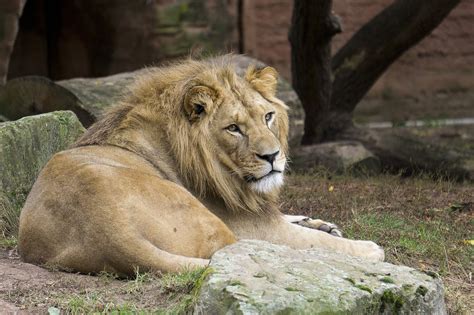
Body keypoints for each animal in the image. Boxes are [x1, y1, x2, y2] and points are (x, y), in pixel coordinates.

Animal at [17, 56, 386, 276]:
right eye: (233, 128)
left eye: (268, 116)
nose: (273, 157)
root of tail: (110, 233)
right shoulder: (253, 226)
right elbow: (312, 241)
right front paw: (365, 247)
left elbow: (290, 218)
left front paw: (320, 223)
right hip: (210, 221)